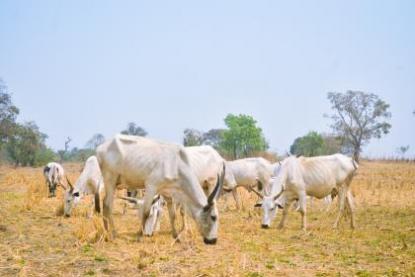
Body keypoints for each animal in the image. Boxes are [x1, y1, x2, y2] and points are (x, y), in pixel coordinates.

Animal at [96, 134, 226, 244]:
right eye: (213, 217)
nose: (213, 240)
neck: (177, 164)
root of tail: (101, 148)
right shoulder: (151, 186)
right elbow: (146, 212)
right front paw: (139, 236)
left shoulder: (167, 193)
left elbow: (172, 215)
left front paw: (176, 237)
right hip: (110, 179)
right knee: (107, 205)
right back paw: (112, 234)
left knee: (105, 204)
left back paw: (107, 233)